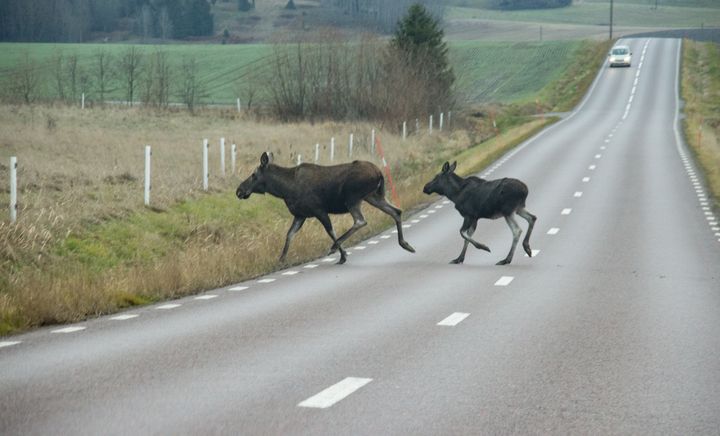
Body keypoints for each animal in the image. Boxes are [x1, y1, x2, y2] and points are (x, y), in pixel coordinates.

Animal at [238, 152, 416, 264]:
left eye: (253, 174)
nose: (239, 190)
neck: (283, 190)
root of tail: (379, 173)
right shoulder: (300, 215)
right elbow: (289, 235)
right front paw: (281, 260)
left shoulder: (319, 210)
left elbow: (330, 231)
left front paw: (343, 255)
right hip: (373, 196)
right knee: (396, 211)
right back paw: (405, 244)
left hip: (353, 198)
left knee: (361, 220)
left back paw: (334, 247)